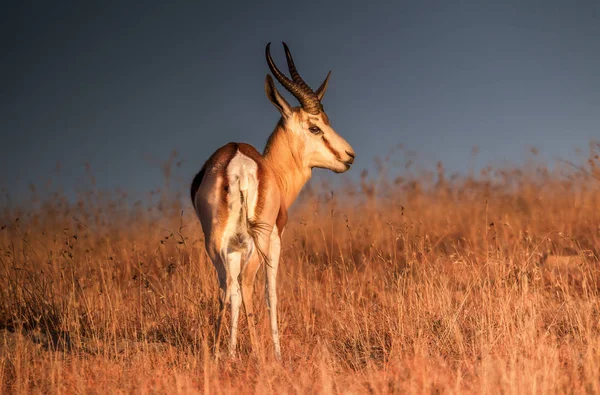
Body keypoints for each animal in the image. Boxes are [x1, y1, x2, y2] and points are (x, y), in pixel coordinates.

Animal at [190, 41, 354, 360]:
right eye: (315, 127)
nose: (349, 155)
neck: (273, 171)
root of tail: (239, 164)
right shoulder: (276, 240)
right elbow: (272, 293)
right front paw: (277, 354)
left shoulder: (233, 248)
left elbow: (234, 295)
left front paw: (231, 351)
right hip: (260, 241)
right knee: (247, 285)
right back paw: (258, 353)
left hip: (215, 243)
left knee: (227, 287)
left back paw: (218, 354)